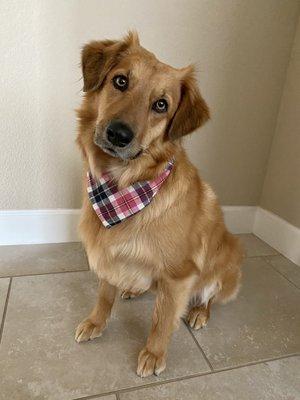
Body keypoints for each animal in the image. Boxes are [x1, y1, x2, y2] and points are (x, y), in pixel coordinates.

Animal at [75, 32, 244, 378]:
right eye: (121, 81)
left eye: (161, 105)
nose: (119, 134)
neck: (121, 186)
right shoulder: (108, 254)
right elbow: (104, 294)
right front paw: (97, 322)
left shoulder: (180, 276)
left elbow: (163, 319)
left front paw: (154, 353)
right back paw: (134, 288)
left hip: (225, 265)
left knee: (208, 297)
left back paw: (199, 312)